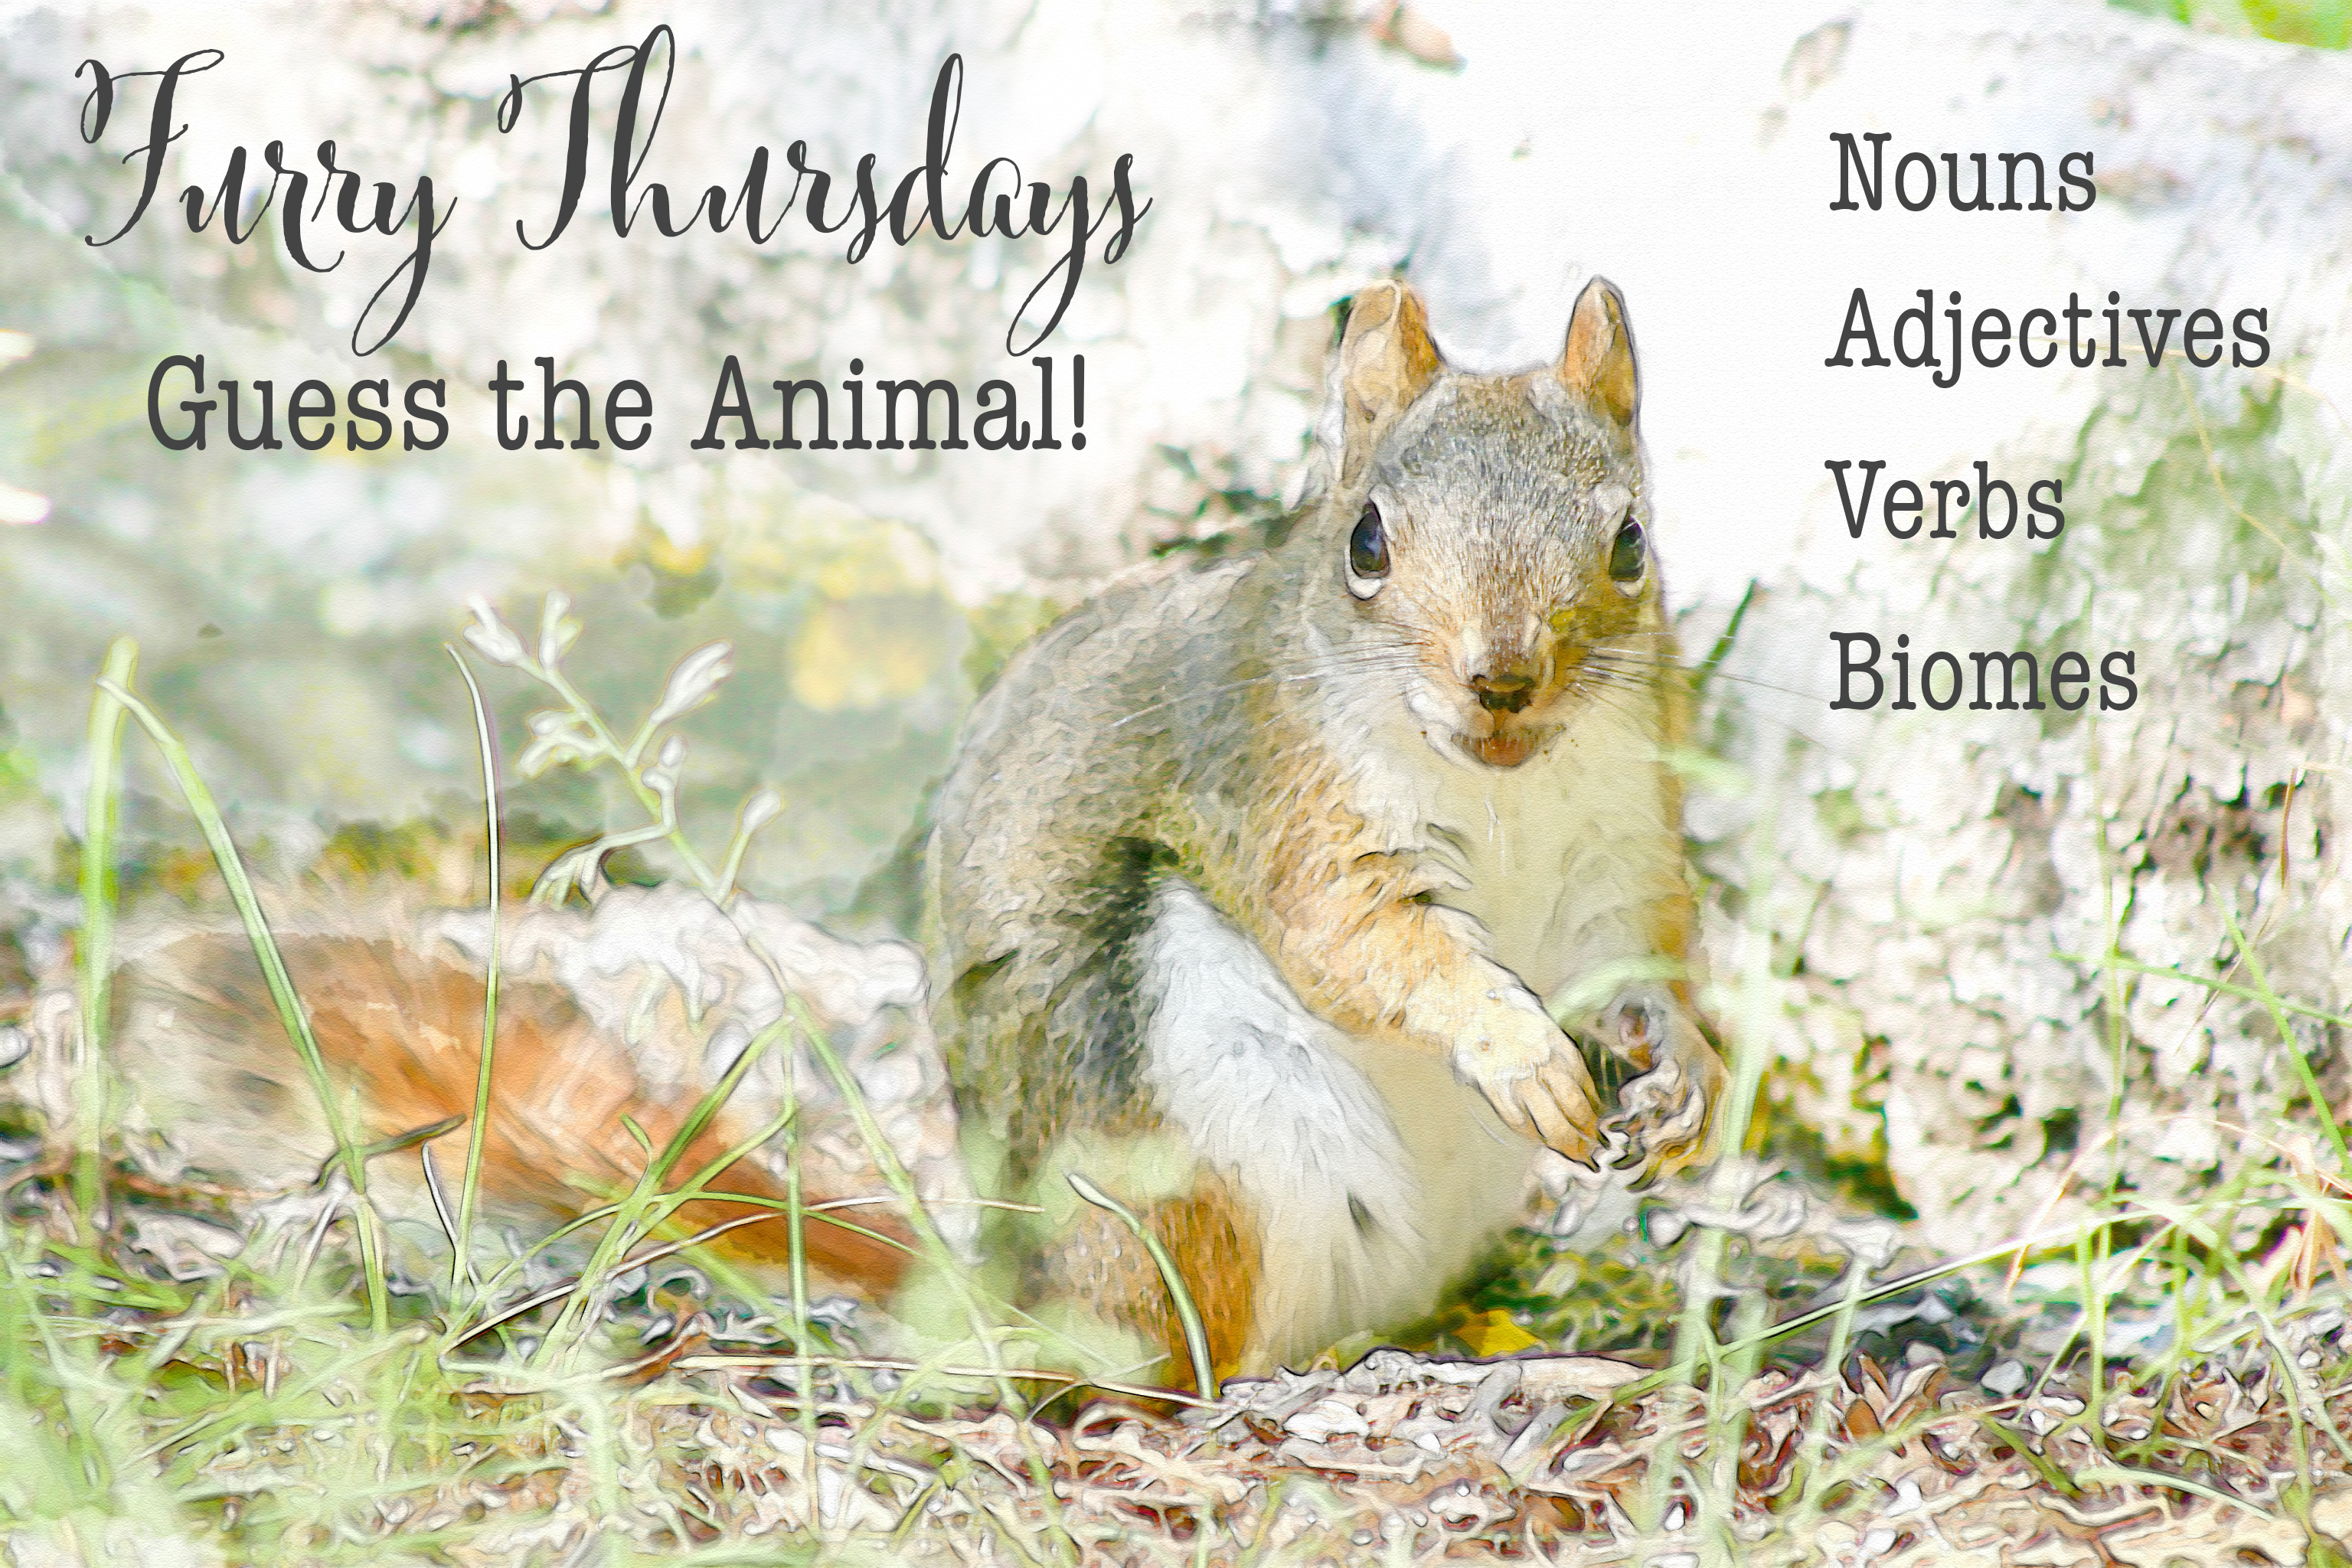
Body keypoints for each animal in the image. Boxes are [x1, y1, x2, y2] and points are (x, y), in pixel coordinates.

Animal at [929, 276, 1723, 1387]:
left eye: (1632, 543)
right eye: (1367, 542)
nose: (1504, 680)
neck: (1506, 794)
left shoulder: (1626, 840)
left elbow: (1633, 959)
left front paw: (1687, 1066)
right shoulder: (1287, 803)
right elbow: (1357, 940)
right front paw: (1517, 1050)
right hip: (1197, 1118)